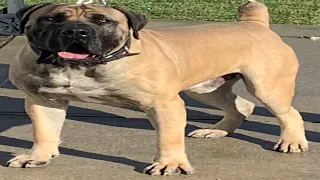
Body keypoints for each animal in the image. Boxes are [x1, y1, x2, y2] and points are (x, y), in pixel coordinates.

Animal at [6, 0, 308, 176]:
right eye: (51, 19)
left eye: (103, 21)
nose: (76, 31)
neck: (84, 67)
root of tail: (255, 24)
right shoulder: (44, 101)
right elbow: (44, 132)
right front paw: (38, 157)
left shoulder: (164, 104)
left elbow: (168, 138)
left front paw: (170, 164)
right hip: (205, 88)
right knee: (241, 106)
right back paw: (216, 131)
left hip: (267, 86)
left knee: (289, 114)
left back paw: (291, 141)